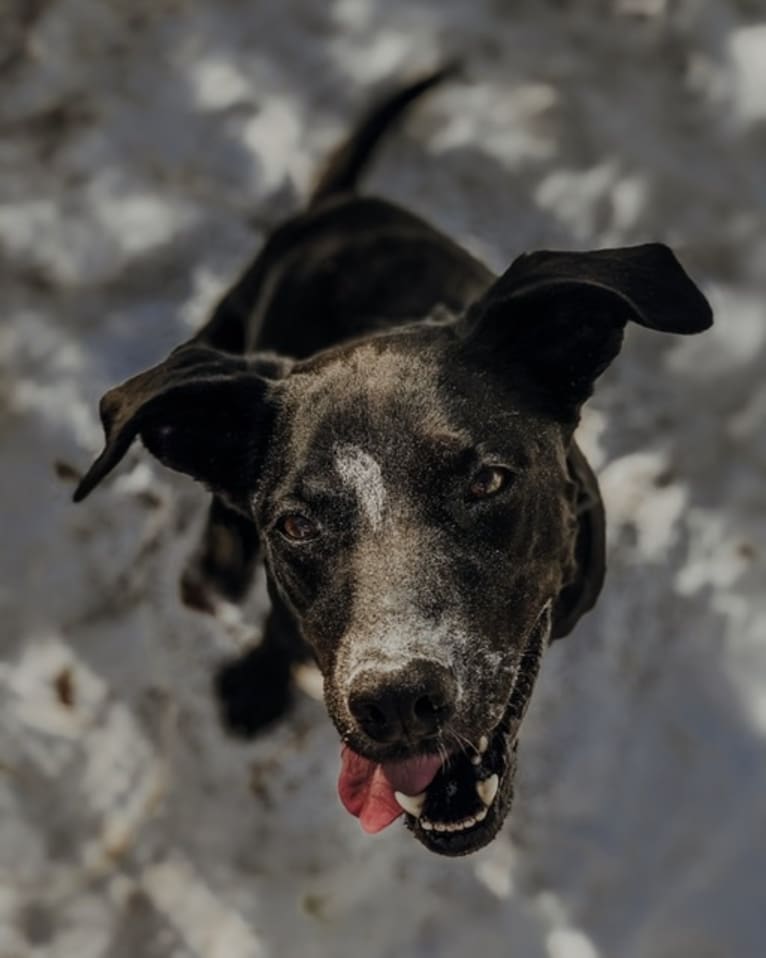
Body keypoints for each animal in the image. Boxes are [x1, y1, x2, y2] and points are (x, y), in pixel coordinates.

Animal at [73, 71, 712, 860]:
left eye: (488, 480)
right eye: (295, 525)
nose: (397, 700)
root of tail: (344, 206)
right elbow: (278, 626)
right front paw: (255, 684)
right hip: (219, 333)